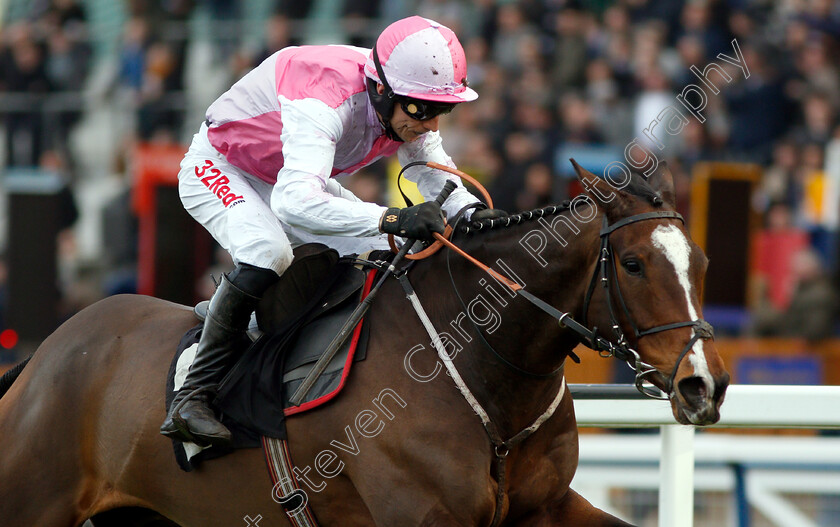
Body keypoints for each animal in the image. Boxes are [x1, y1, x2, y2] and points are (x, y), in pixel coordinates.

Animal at [0, 162, 724, 527]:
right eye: (632, 263)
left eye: (703, 260)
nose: (704, 384)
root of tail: (46, 352)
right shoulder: (422, 517)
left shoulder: (547, 508)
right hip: (33, 501)